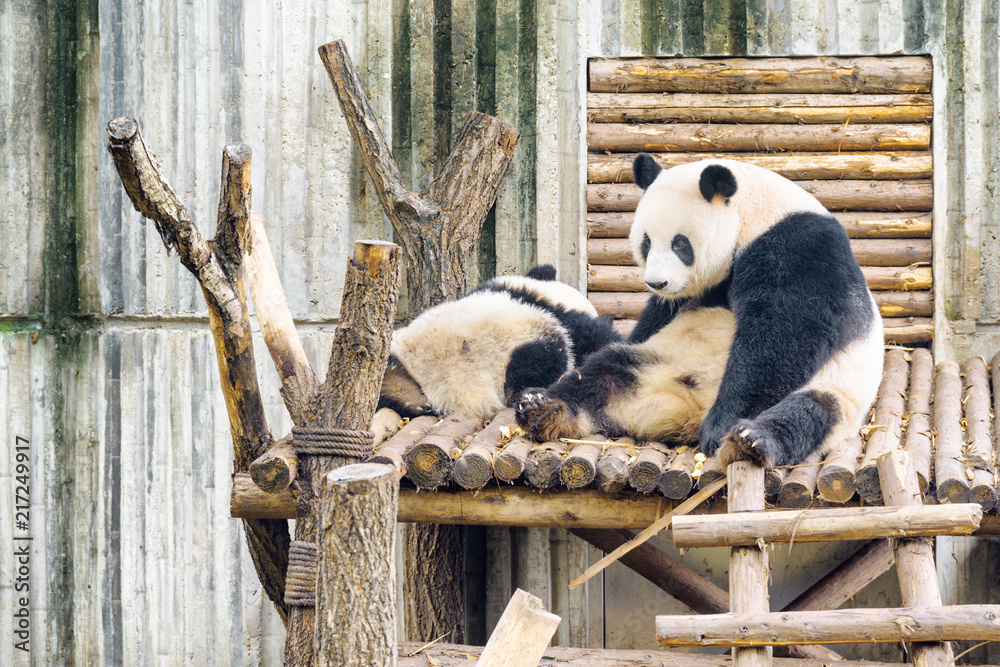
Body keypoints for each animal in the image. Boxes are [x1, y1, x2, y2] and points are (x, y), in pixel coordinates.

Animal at [377, 264, 623, 421]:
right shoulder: (563, 321)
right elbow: (595, 339)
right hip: (535, 340)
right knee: (539, 365)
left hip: (397, 349)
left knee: (390, 377)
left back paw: (407, 399)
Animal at [519, 155, 884, 469]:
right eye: (646, 242)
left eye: (680, 243)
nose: (657, 282)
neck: (753, 214)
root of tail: (687, 411)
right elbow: (659, 315)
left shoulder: (799, 249)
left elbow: (784, 336)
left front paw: (722, 425)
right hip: (656, 359)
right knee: (602, 373)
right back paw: (544, 408)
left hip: (839, 390)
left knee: (808, 414)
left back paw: (750, 440)